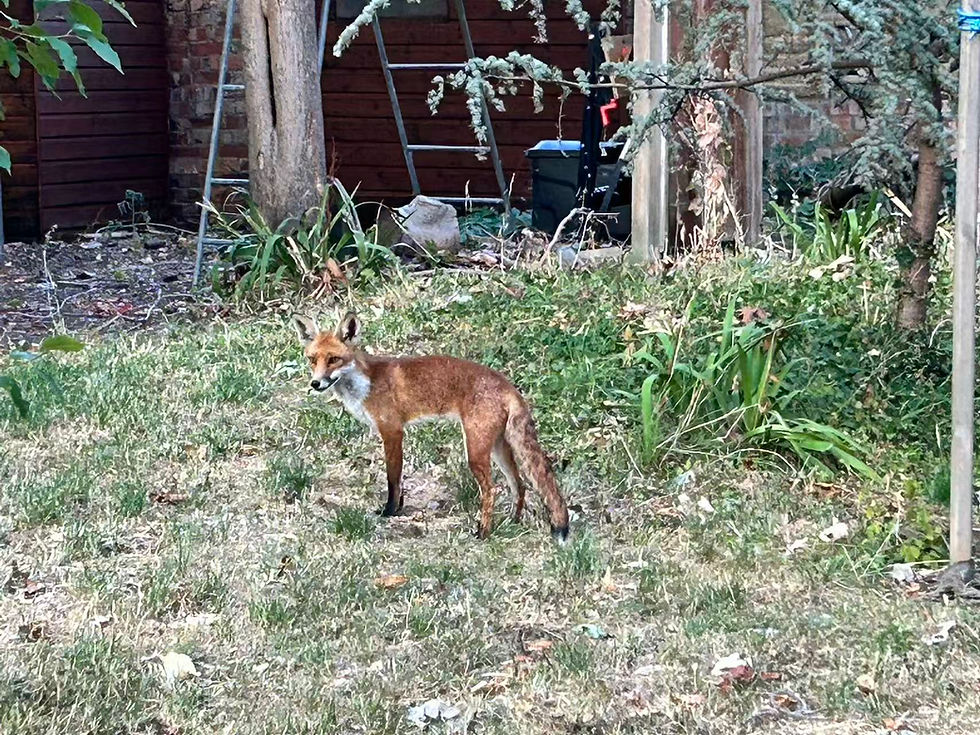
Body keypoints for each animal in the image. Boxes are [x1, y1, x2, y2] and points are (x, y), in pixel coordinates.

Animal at [293, 311, 570, 541]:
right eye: (312, 360)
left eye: (334, 359)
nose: (315, 383)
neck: (366, 383)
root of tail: (508, 385)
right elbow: (398, 481)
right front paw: (398, 508)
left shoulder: (392, 431)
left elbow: (393, 479)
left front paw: (389, 511)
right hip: (499, 447)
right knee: (519, 484)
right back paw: (513, 523)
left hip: (476, 450)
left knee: (492, 489)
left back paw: (483, 532)